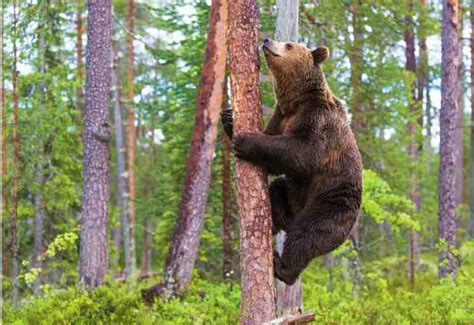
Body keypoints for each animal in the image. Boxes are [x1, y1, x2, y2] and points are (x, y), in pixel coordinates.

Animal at [222, 38, 362, 284]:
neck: (296, 101)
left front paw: (244, 140)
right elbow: (273, 154)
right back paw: (274, 223)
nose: (267, 40)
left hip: (332, 204)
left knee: (306, 234)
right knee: (277, 190)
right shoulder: (281, 116)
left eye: (289, 44)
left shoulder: (318, 120)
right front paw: (228, 117)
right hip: (293, 196)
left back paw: (281, 266)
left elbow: (301, 152)